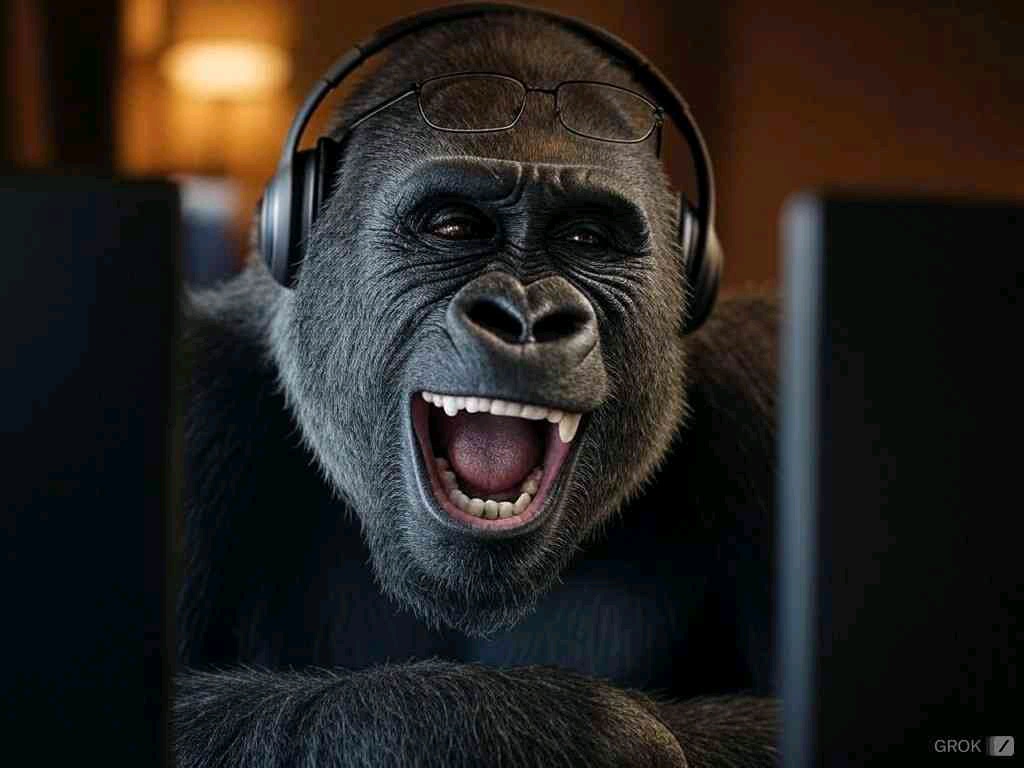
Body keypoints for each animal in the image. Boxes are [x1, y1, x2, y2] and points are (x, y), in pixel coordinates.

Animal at [175, 11, 779, 767]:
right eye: (454, 227)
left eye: (587, 238)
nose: (526, 318)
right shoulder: (193, 393)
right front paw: (538, 727)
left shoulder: (763, 384)